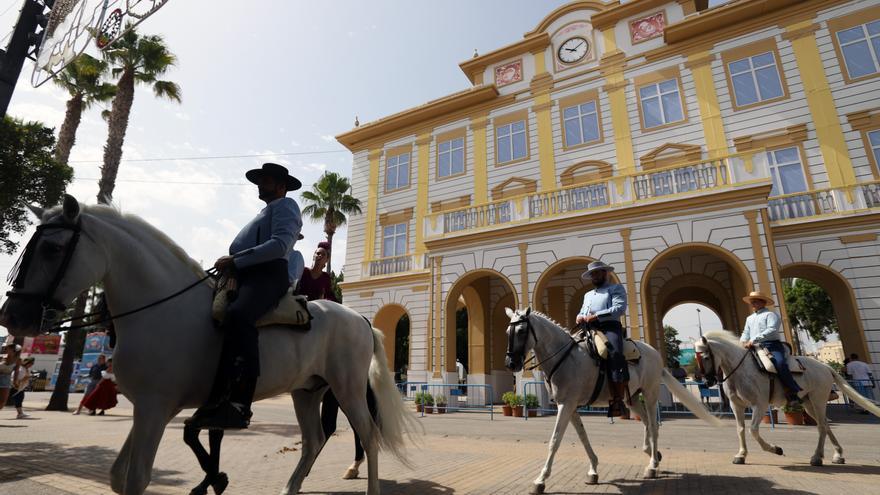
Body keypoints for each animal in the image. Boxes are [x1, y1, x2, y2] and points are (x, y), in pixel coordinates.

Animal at [0, 198, 420, 495]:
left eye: (53, 249)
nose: (12, 315)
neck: (164, 307)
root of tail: (359, 318)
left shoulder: (155, 409)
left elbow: (136, 479)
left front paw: (213, 479)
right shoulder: (152, 409)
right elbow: (120, 477)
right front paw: (213, 479)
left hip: (347, 390)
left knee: (367, 436)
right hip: (307, 391)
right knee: (314, 439)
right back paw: (289, 487)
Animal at [502, 308, 720, 494]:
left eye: (521, 331)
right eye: (507, 331)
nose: (511, 363)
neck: (564, 358)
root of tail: (654, 352)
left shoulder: (567, 404)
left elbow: (554, 441)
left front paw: (540, 479)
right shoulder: (569, 406)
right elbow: (583, 437)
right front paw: (593, 469)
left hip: (650, 393)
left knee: (654, 425)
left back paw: (653, 466)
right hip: (632, 398)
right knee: (647, 422)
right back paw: (652, 454)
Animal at [696, 332, 880, 466]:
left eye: (706, 357)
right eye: (695, 358)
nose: (708, 382)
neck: (740, 371)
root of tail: (826, 367)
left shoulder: (760, 404)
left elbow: (753, 430)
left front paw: (775, 449)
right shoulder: (736, 405)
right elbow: (740, 429)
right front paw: (741, 455)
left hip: (819, 399)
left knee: (821, 426)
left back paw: (816, 457)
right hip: (808, 404)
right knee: (825, 424)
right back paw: (837, 455)